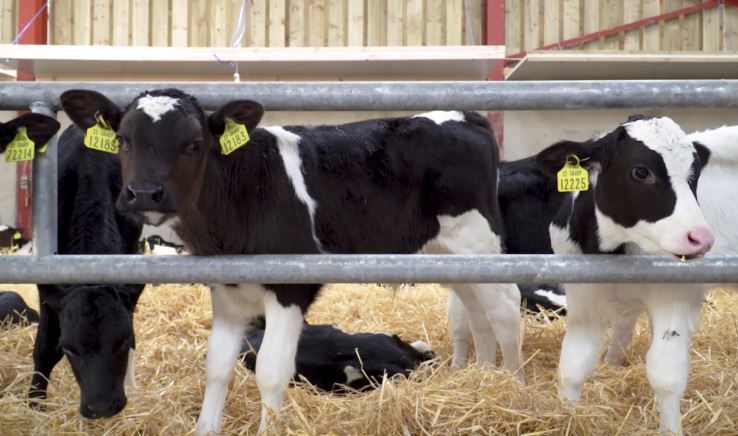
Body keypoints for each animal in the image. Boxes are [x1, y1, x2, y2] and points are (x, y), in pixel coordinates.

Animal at [0, 115, 146, 419]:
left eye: (122, 340)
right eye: (69, 348)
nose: (101, 407)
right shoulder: (48, 286)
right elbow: (44, 348)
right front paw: (35, 403)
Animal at [536, 115, 714, 435]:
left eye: (694, 173)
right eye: (641, 171)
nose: (701, 238)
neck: (613, 250)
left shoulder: (673, 295)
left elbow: (666, 375)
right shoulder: (583, 295)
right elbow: (573, 364)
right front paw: (568, 416)